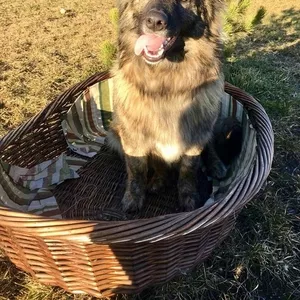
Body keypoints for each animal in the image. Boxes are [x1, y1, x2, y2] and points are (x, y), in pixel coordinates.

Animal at [109, 0, 226, 212]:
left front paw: (188, 196)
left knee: (211, 143)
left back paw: (216, 165)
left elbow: (189, 169)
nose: (155, 22)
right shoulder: (133, 139)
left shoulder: (196, 136)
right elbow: (139, 168)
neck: (166, 85)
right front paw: (137, 195)